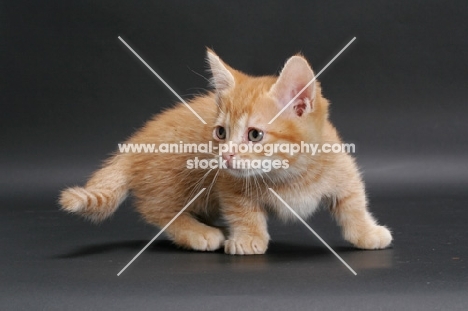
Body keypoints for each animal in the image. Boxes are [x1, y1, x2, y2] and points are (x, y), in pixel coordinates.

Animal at [60, 50, 394, 256]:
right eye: (221, 133)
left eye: (255, 135)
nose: (226, 156)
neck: (290, 172)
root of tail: (133, 143)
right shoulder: (229, 183)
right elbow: (243, 210)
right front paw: (248, 238)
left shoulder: (342, 168)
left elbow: (354, 202)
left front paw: (367, 232)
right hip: (173, 178)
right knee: (159, 210)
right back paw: (198, 232)